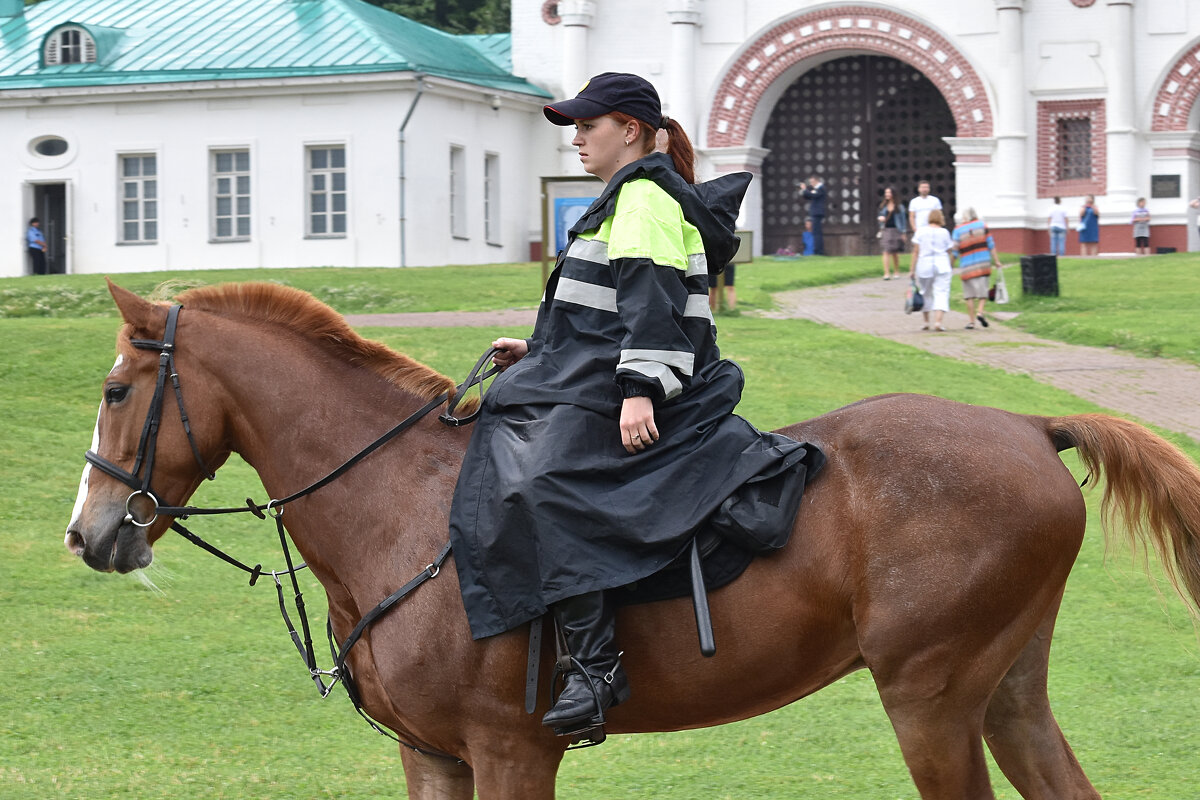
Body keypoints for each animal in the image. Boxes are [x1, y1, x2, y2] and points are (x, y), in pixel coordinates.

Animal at [68, 283, 1200, 800]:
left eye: (118, 392)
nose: (86, 533)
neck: (401, 506)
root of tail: (1027, 426)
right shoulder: (430, 754)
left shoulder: (510, 752)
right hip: (1004, 694)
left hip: (931, 701)